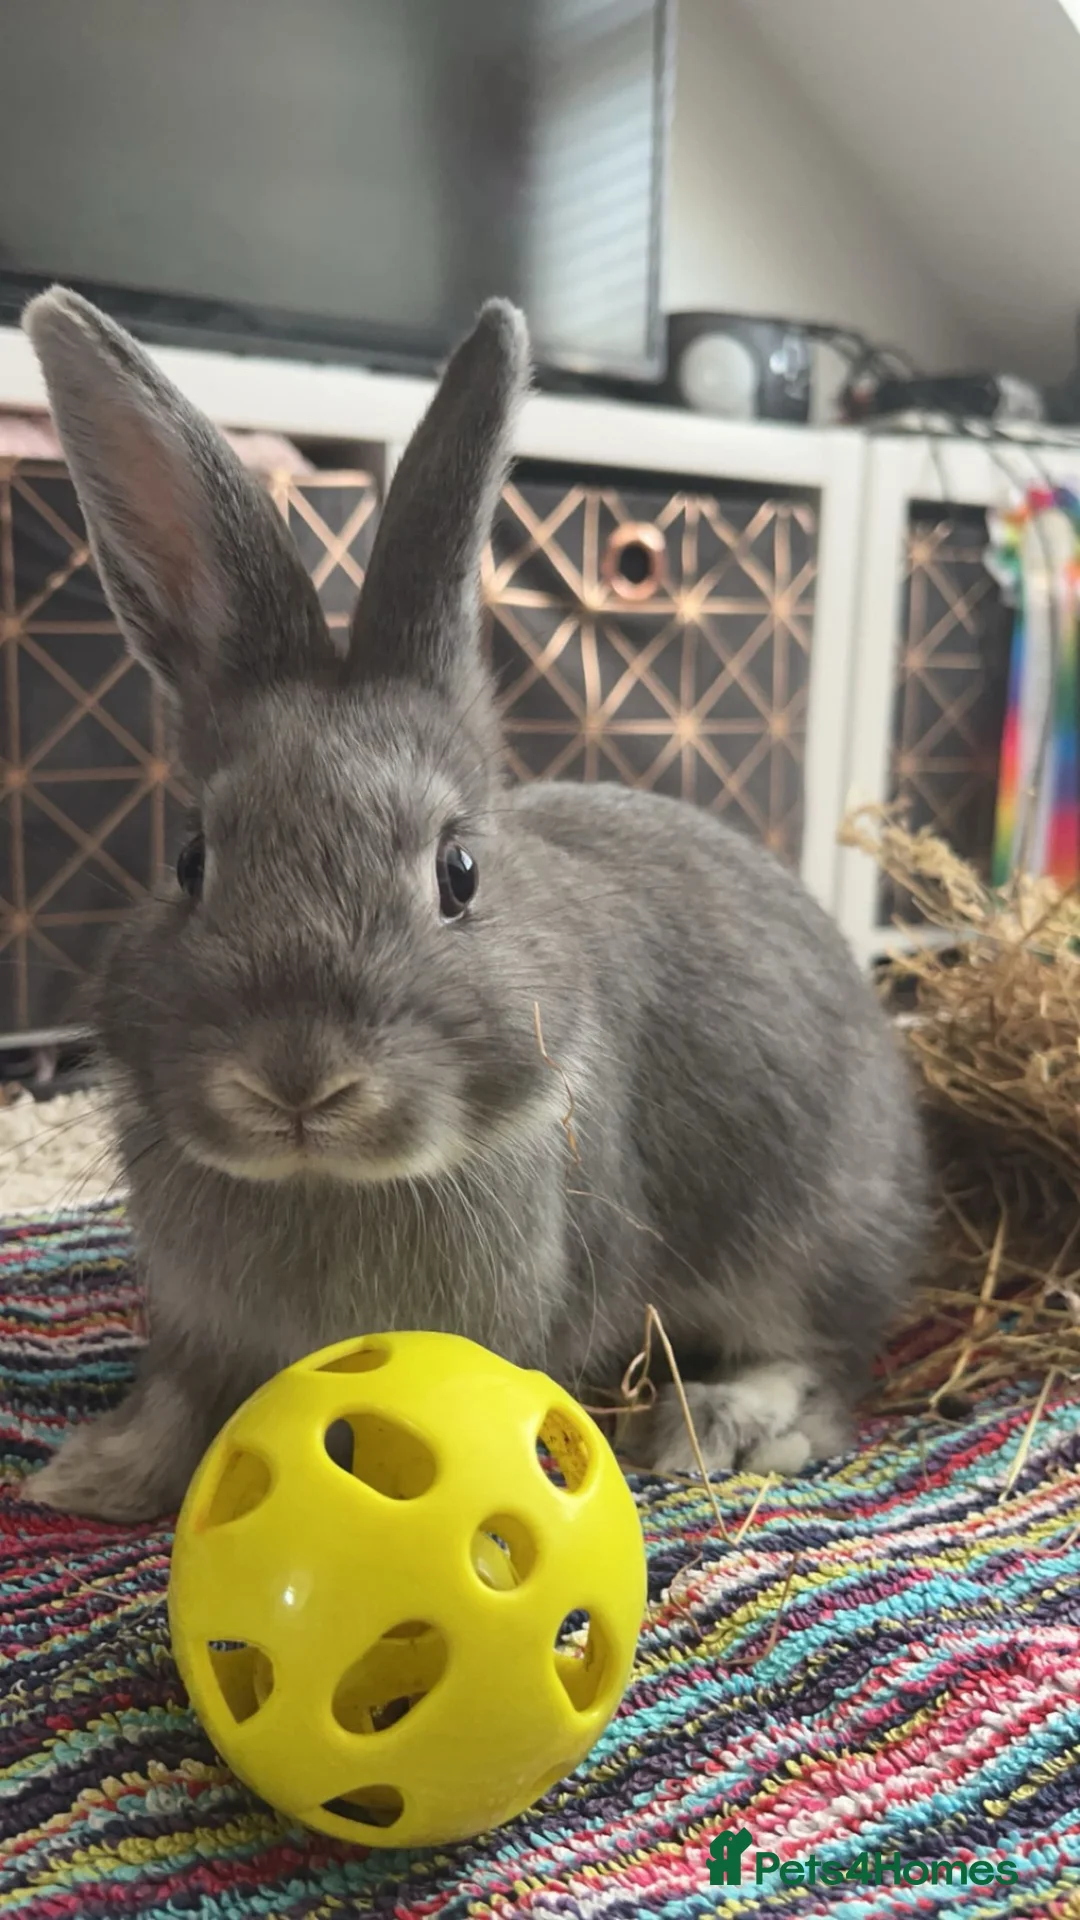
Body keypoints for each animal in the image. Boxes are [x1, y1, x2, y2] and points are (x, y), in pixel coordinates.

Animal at [22, 287, 929, 1523]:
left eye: (459, 873)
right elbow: (175, 1407)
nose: (295, 1083)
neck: (326, 1182)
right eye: (192, 860)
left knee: (830, 1362)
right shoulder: (199, 1334)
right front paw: (88, 1480)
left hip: (812, 1225)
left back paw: (720, 1425)